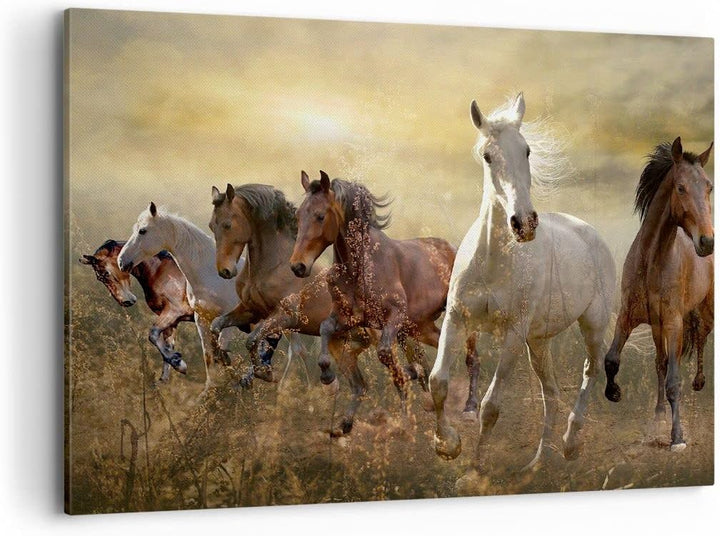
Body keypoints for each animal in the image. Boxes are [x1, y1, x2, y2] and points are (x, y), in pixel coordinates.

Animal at [80, 239, 194, 382]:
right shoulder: (172, 320)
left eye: (106, 273)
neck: (161, 270)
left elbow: (153, 334)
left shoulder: (173, 312)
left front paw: (178, 364)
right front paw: (168, 373)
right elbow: (167, 345)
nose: (126, 301)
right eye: (99, 278)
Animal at [290, 171, 479, 424]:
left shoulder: (394, 315)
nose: (298, 266)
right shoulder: (349, 318)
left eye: (320, 216)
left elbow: (385, 354)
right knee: (441, 345)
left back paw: (470, 409)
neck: (360, 267)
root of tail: (454, 249)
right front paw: (328, 378)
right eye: (298, 215)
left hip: (459, 314)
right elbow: (325, 328)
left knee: (472, 355)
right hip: (419, 326)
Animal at [428, 93, 616, 470]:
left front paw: (475, 470)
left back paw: (570, 443)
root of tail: (591, 233)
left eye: (527, 151)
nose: (525, 223)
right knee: (552, 393)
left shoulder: (513, 334)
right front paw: (448, 445)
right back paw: (537, 464)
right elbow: (438, 382)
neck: (492, 262)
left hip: (592, 324)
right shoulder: (457, 319)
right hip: (539, 342)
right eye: (488, 155)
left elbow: (490, 406)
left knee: (591, 372)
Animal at [604, 138, 714, 452]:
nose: (707, 241)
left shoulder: (674, 322)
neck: (652, 262)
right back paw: (660, 413)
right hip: (658, 327)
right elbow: (612, 359)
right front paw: (614, 393)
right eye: (681, 188)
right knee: (661, 363)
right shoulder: (629, 317)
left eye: (709, 187)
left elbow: (674, 382)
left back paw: (699, 382)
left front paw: (677, 438)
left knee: (701, 338)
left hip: (704, 311)